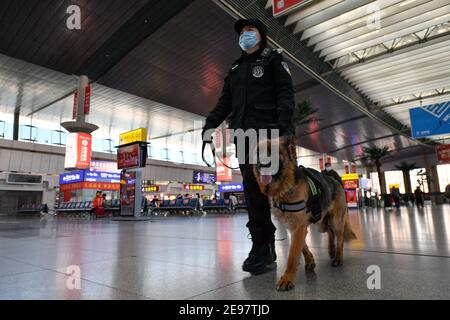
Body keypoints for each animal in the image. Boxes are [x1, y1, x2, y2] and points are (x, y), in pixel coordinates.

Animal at [253, 136, 356, 292]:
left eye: (273, 152)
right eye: (258, 152)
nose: (262, 164)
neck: (284, 187)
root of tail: (334, 179)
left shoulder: (298, 227)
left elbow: (292, 255)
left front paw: (287, 278)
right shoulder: (294, 227)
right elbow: (302, 247)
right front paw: (310, 261)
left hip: (336, 221)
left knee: (340, 236)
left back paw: (338, 257)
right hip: (321, 223)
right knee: (329, 231)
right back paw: (331, 250)